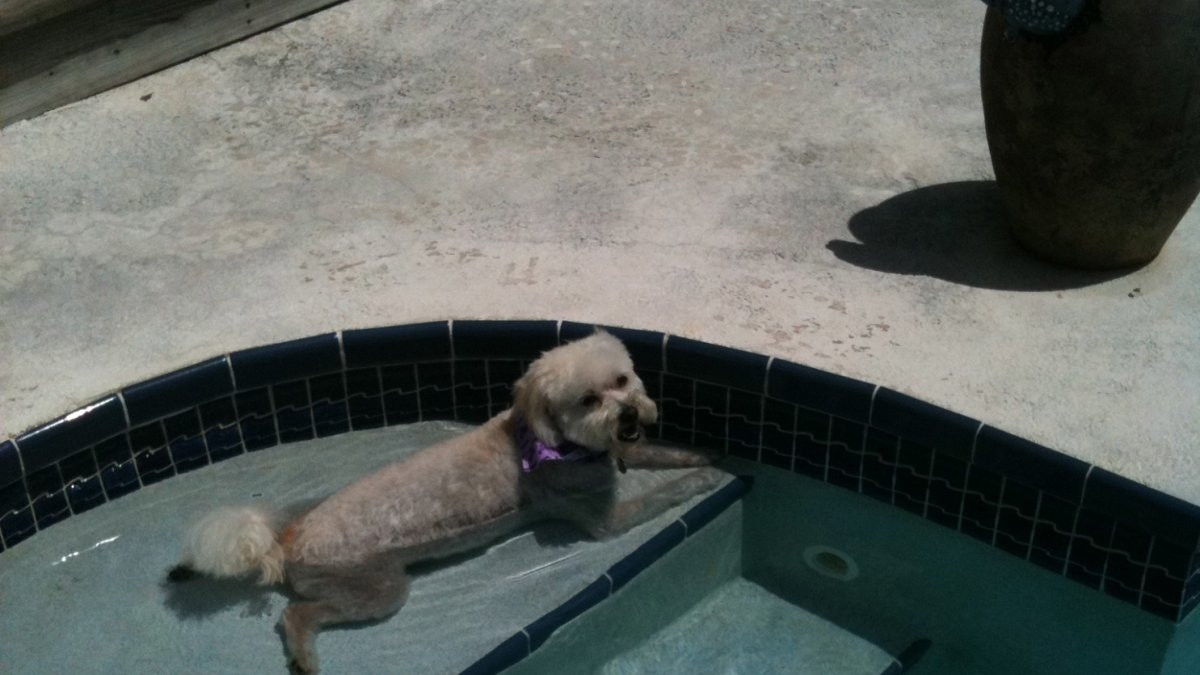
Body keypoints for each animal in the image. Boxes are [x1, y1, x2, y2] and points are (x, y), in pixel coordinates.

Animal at [164, 331, 724, 672]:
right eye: (587, 400)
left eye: (622, 379)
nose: (629, 414)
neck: (551, 439)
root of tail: (284, 542)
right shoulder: (601, 518)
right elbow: (657, 495)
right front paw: (698, 481)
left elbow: (657, 453)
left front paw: (700, 455)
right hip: (378, 591)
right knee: (297, 615)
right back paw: (303, 656)